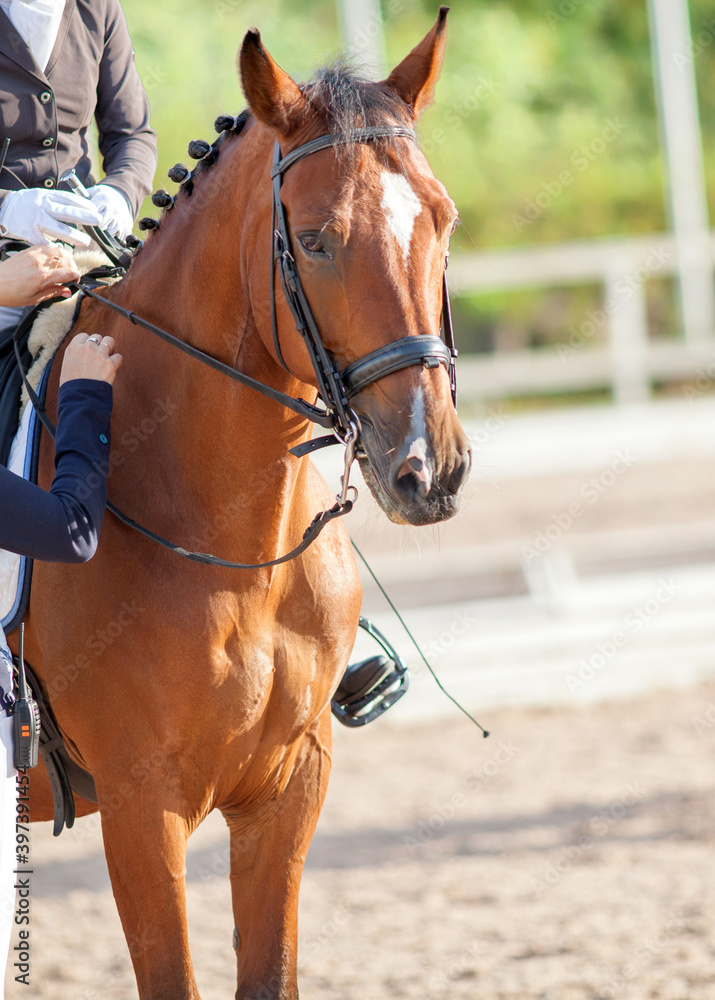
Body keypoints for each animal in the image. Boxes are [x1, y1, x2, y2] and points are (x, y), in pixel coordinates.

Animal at [11, 9, 472, 1000]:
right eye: (316, 239)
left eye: (442, 218)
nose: (430, 469)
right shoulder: (142, 811)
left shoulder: (287, 791)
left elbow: (269, 973)